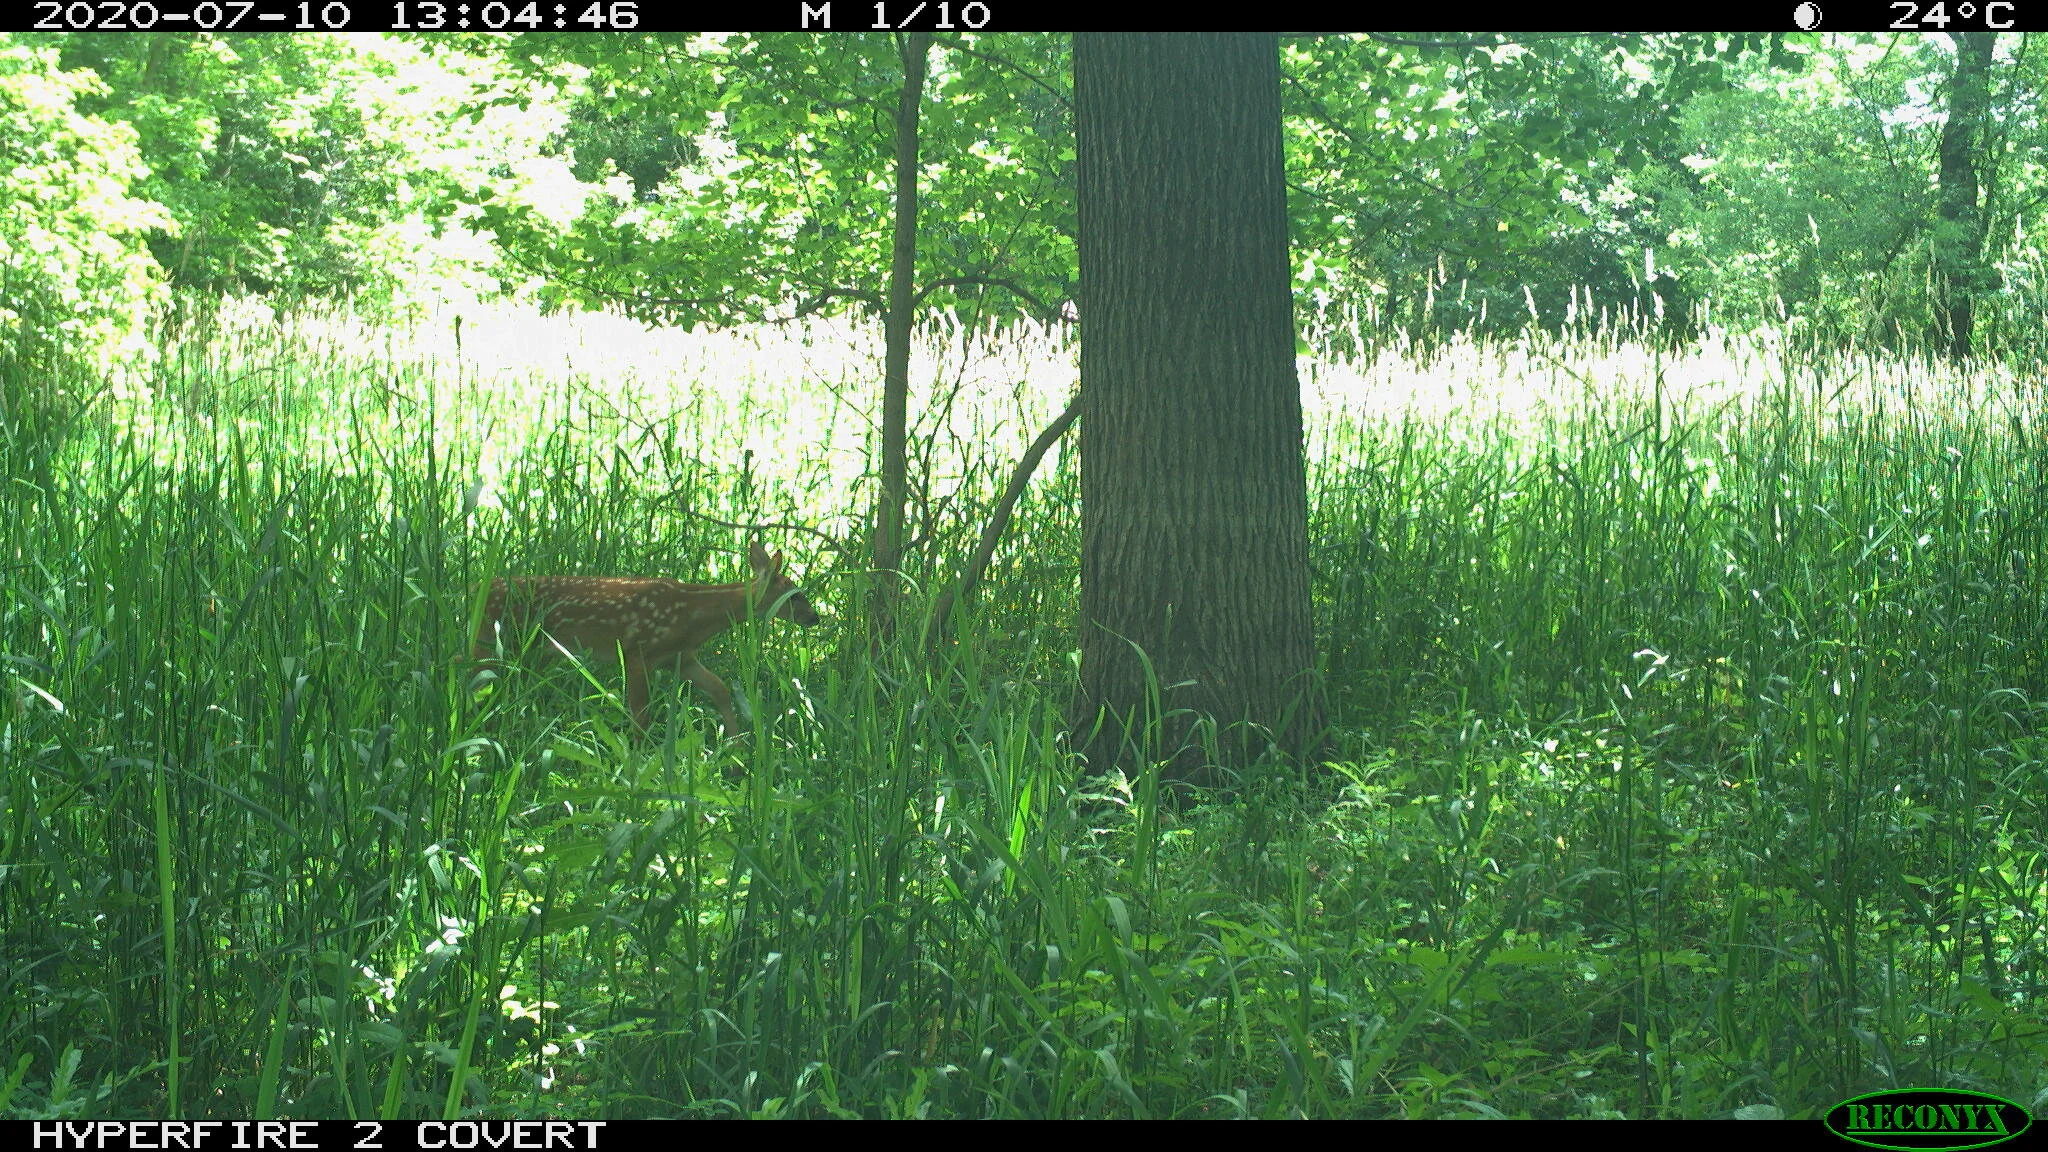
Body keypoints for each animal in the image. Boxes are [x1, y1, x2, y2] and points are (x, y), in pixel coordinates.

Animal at [470, 539, 820, 738]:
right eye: (795, 595)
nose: (814, 618)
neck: (695, 617)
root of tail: (479, 589)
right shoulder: (638, 653)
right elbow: (641, 712)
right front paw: (636, 761)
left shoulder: (681, 658)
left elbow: (720, 689)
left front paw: (736, 753)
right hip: (495, 638)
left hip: (536, 650)